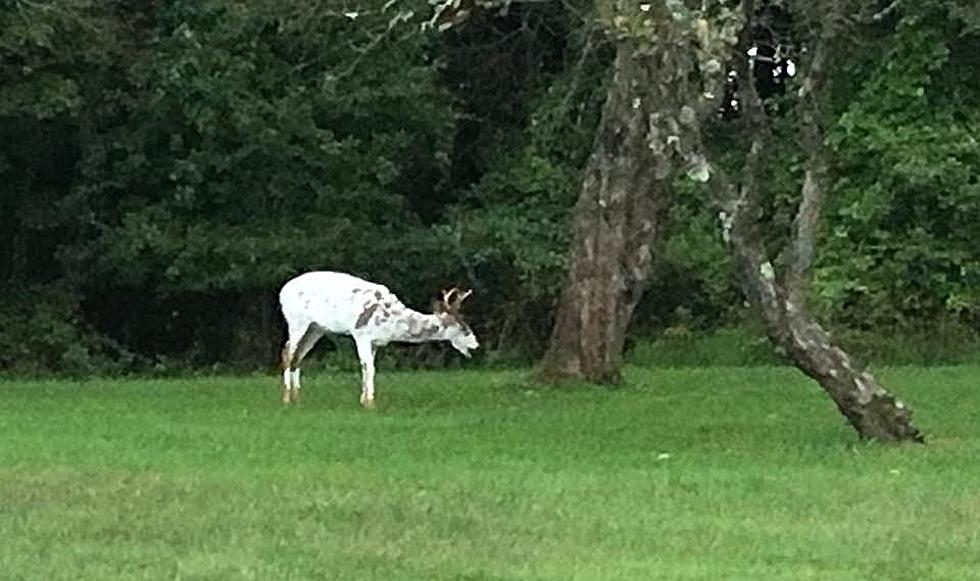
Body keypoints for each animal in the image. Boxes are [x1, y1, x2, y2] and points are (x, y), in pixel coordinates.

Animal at [276, 270, 478, 406]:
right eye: (463, 328)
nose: (476, 345)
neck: (392, 322)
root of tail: (282, 292)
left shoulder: (374, 342)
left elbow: (368, 368)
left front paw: (363, 400)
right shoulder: (361, 334)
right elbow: (369, 368)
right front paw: (371, 403)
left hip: (316, 328)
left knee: (297, 355)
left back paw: (297, 397)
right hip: (297, 320)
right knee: (288, 352)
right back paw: (286, 399)